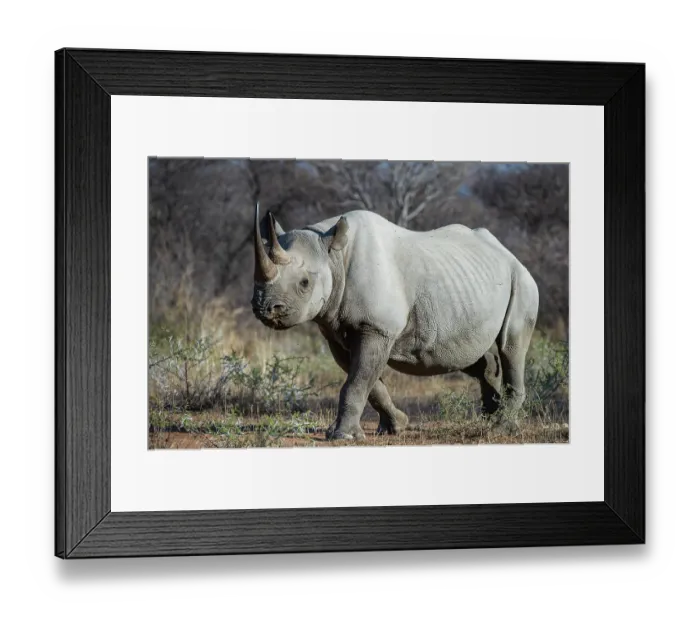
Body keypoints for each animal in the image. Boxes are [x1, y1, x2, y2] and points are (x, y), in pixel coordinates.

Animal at [250, 205, 539, 441]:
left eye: (304, 283)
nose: (265, 309)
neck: (333, 255)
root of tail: (508, 254)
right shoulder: (336, 331)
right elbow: (369, 382)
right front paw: (396, 426)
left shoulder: (376, 327)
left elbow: (357, 381)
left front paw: (342, 436)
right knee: (468, 355)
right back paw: (493, 417)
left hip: (522, 281)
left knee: (512, 347)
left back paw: (501, 428)